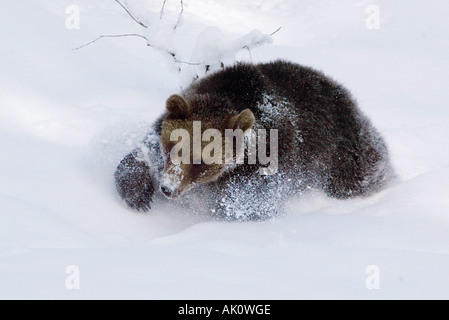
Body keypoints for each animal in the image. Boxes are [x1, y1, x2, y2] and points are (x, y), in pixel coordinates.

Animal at [114, 60, 392, 220]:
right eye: (173, 147)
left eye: (201, 160)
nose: (167, 188)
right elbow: (140, 154)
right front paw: (138, 194)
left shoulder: (274, 156)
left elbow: (249, 201)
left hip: (344, 152)